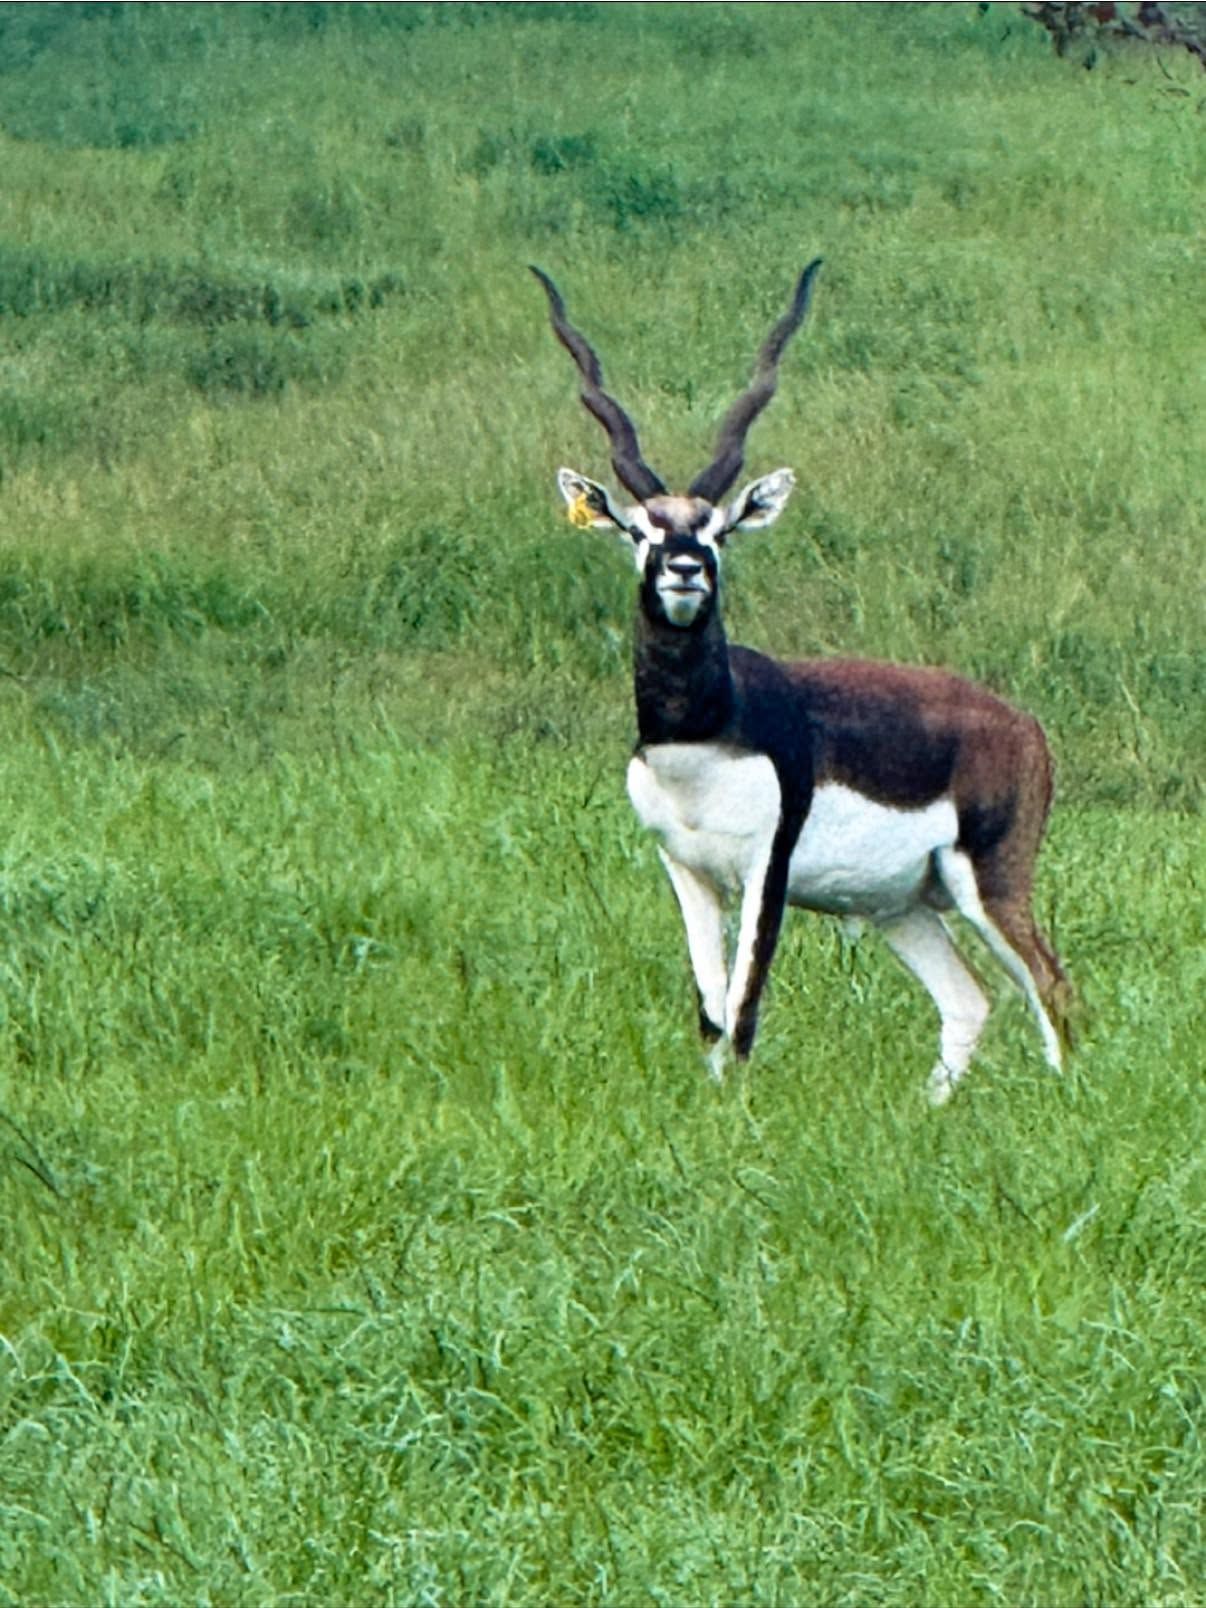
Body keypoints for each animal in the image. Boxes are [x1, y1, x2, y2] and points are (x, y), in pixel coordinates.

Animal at [532, 261, 1071, 1103]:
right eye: (642, 529)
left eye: (718, 529)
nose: (685, 569)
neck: (703, 737)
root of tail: (1023, 725)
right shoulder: (686, 870)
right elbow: (709, 1010)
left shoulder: (768, 867)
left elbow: (745, 1006)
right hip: (901, 906)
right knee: (971, 1000)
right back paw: (930, 1112)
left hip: (990, 881)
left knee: (1052, 989)